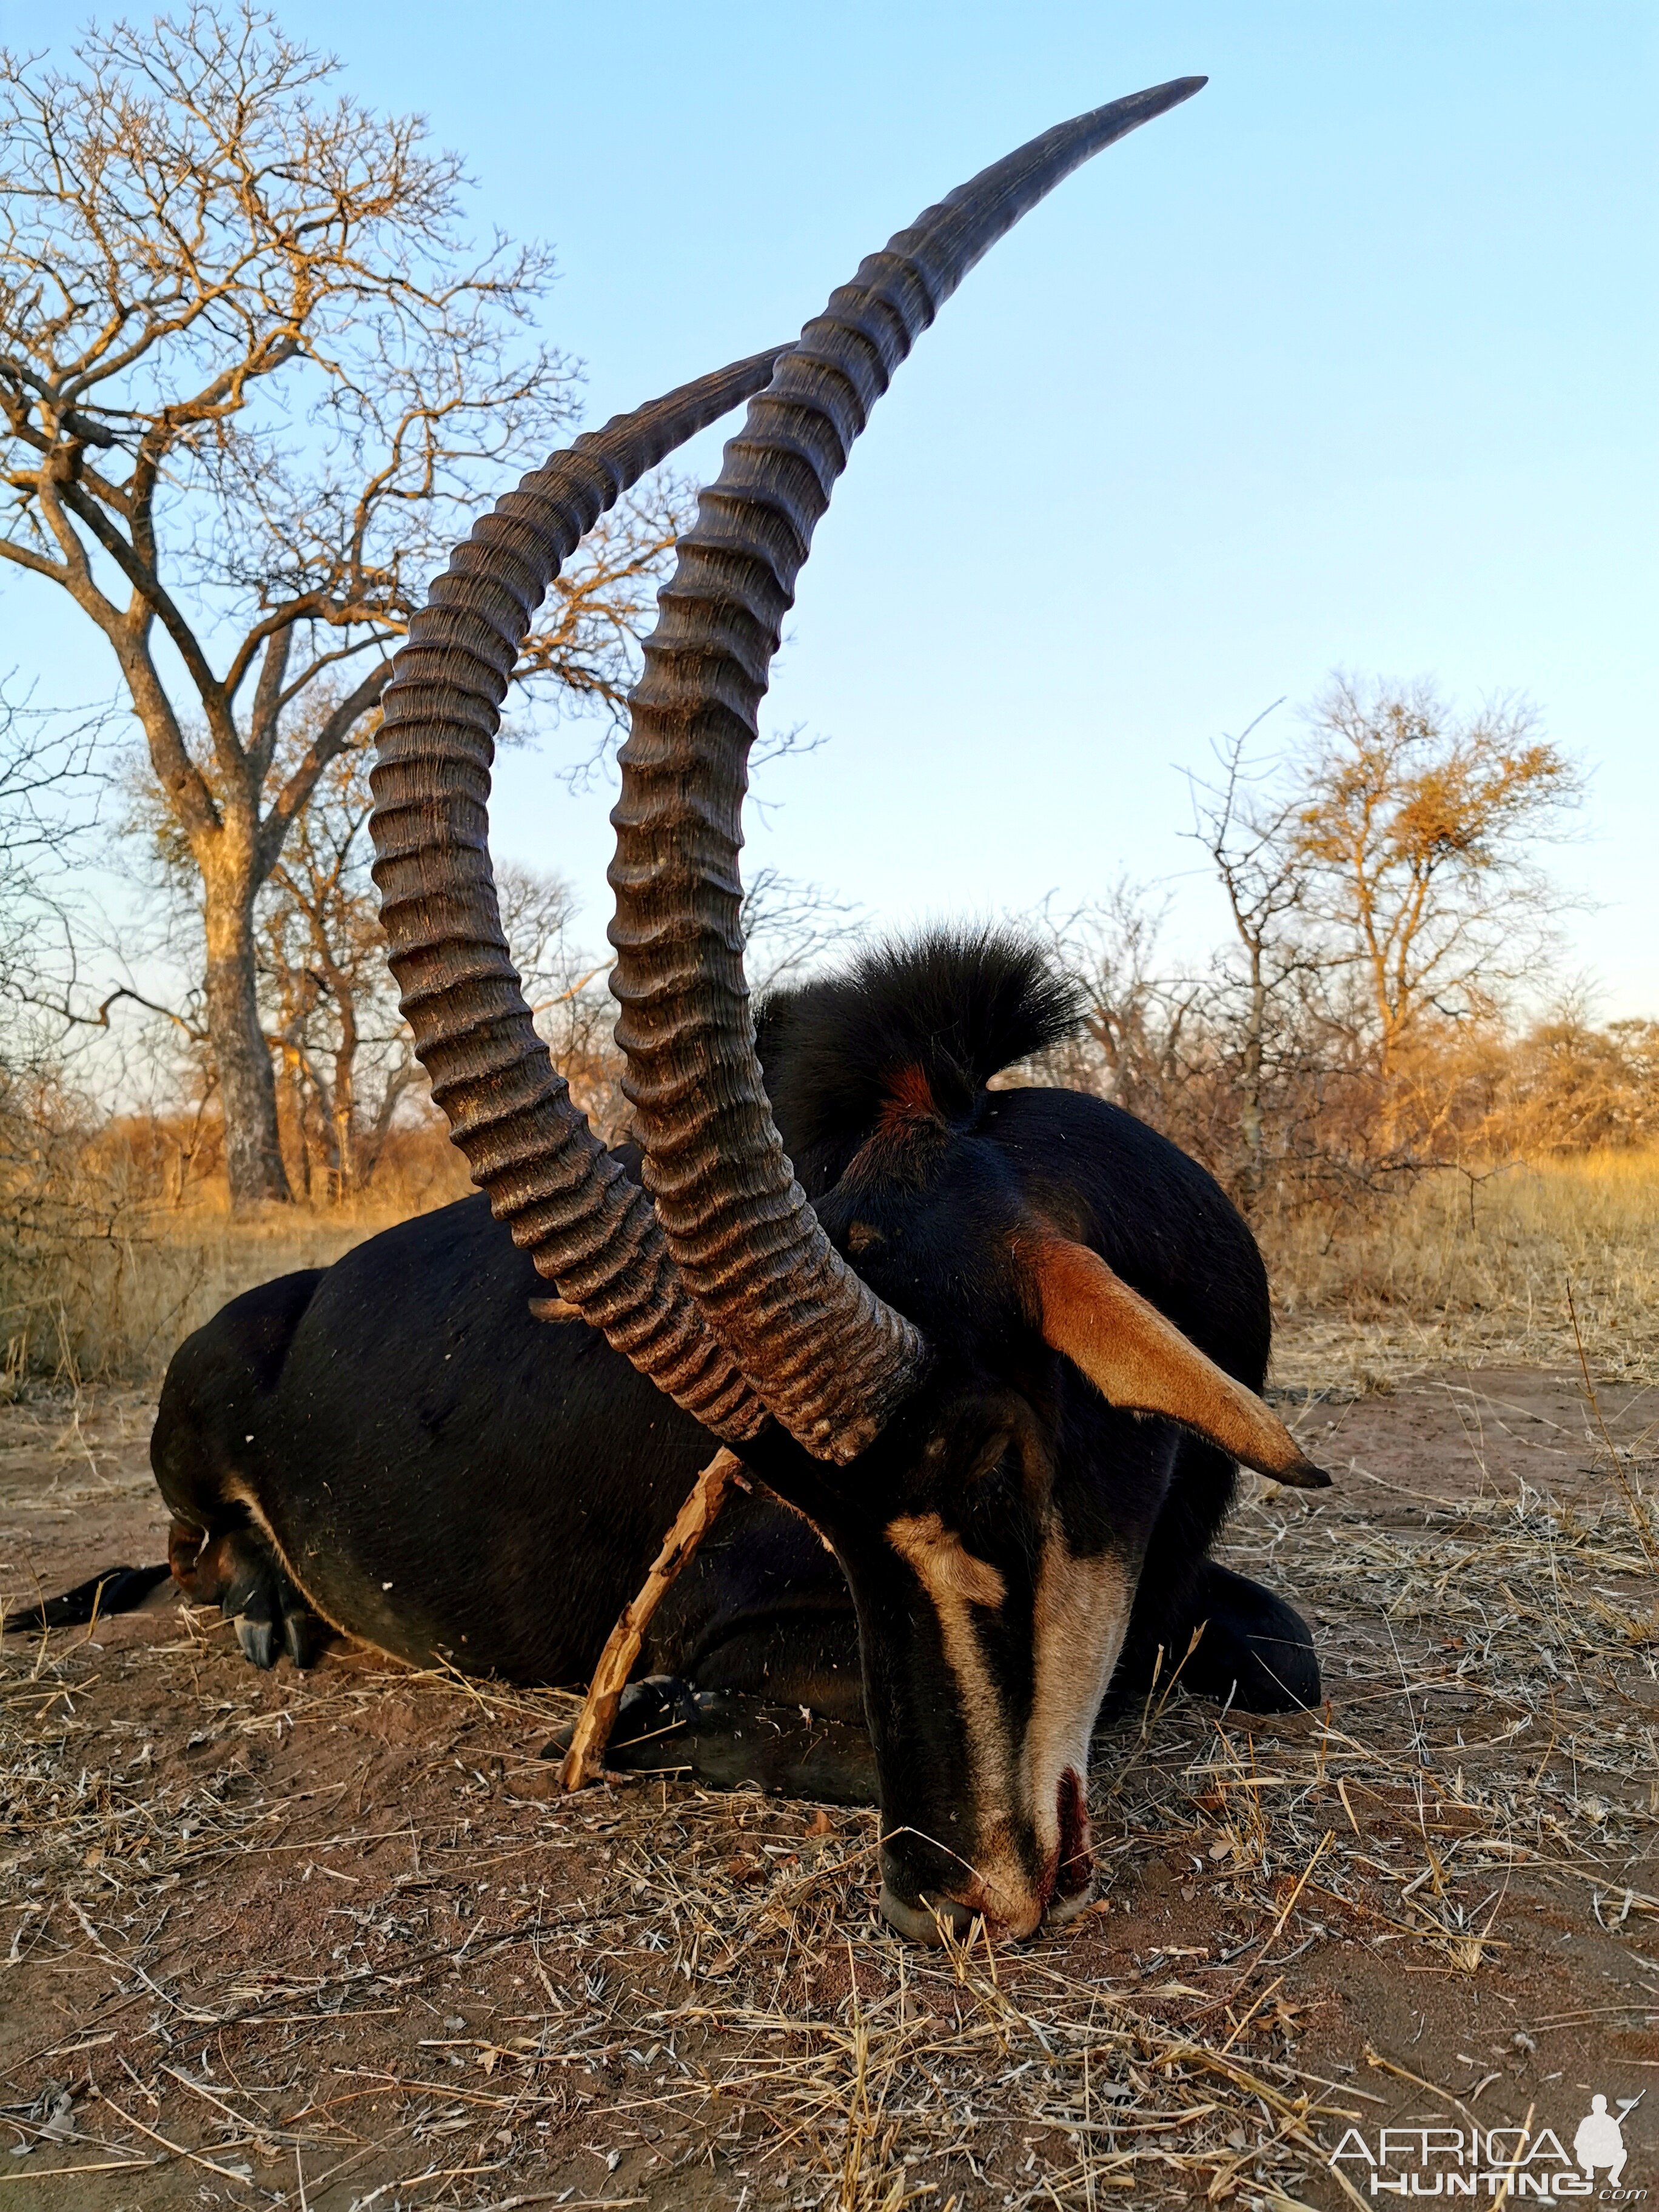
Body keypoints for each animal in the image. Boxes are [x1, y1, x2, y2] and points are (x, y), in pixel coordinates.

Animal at [136, 81, 1336, 1937]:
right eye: (816, 1514)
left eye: (995, 1467)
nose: (949, 1892)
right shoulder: (727, 1621)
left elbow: (1270, 1650)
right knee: (195, 1558)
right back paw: (270, 1609)